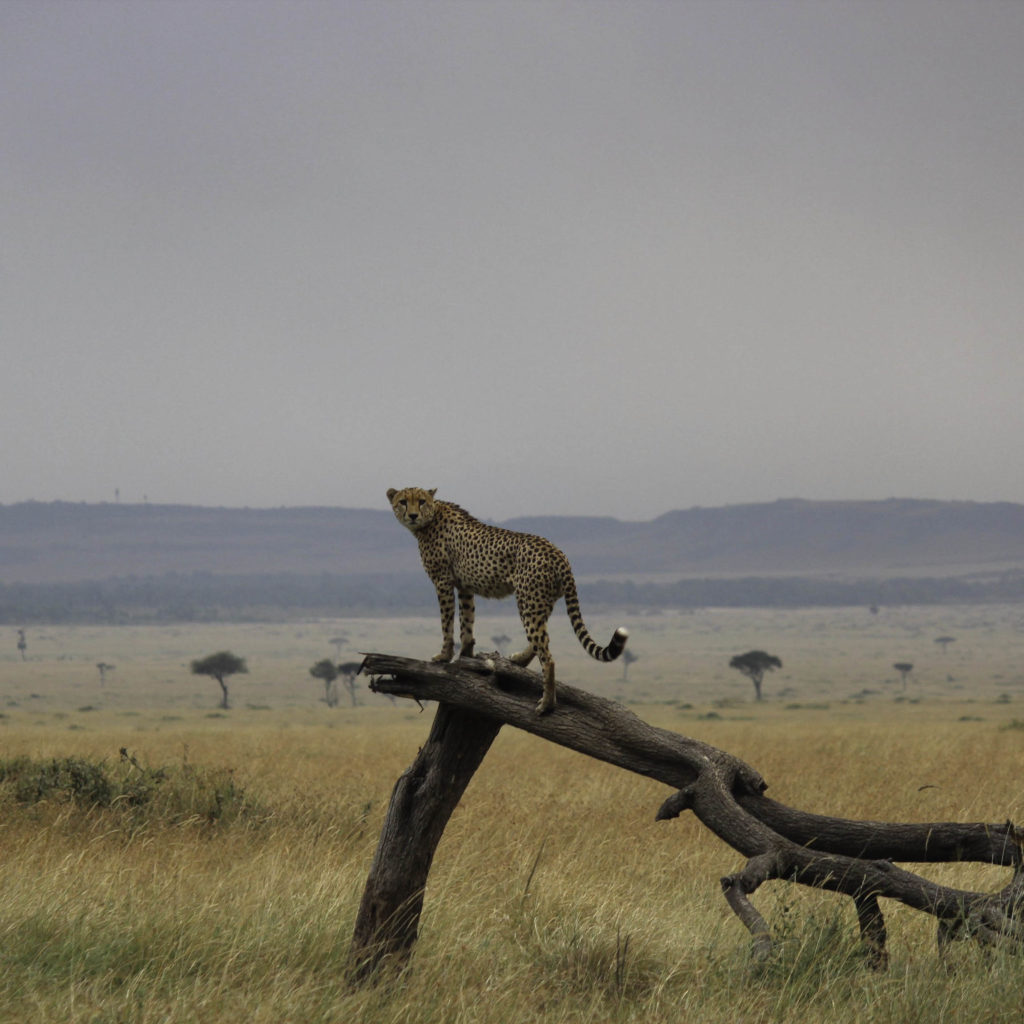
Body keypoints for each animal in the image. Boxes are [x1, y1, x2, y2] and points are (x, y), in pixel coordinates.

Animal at [385, 485, 622, 712]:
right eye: (403, 501)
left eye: (421, 501)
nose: (413, 515)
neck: (432, 515)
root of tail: (557, 552)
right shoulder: (465, 586)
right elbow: (467, 622)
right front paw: (466, 655)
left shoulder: (443, 582)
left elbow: (447, 623)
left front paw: (444, 656)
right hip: (541, 601)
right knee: (542, 640)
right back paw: (520, 660)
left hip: (529, 601)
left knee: (547, 656)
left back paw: (546, 704)